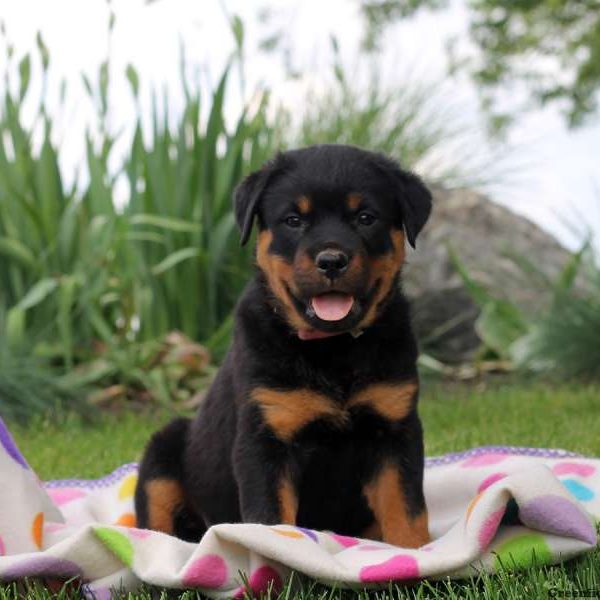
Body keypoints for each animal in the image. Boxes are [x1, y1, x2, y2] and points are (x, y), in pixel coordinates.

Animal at [133, 143, 432, 548]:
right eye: (293, 220)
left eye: (366, 217)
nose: (331, 260)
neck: (333, 350)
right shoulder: (266, 437)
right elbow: (271, 520)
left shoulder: (395, 428)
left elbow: (406, 509)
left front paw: (419, 556)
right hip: (161, 457)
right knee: (156, 524)